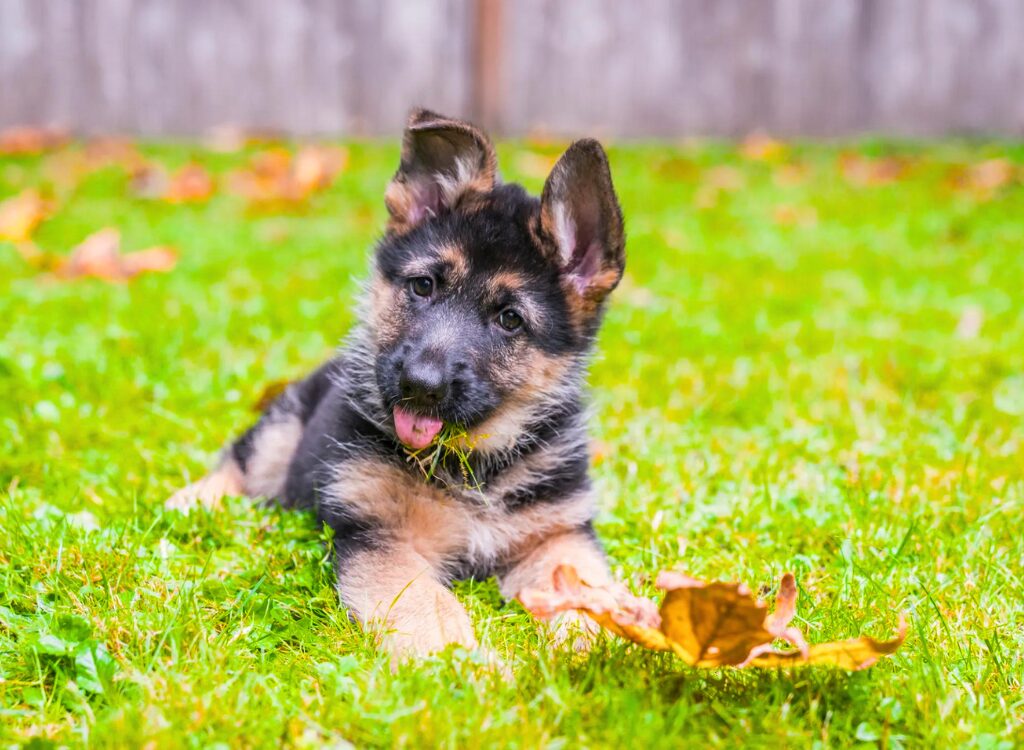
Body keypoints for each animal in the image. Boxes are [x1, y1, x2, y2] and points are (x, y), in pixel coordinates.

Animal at [167, 108, 622, 659]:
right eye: (423, 286)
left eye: (510, 319)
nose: (419, 384)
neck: (471, 466)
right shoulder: (380, 535)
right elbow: (426, 604)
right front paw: (464, 662)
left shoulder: (558, 534)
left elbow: (584, 587)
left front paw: (604, 643)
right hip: (283, 428)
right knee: (241, 462)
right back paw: (193, 501)